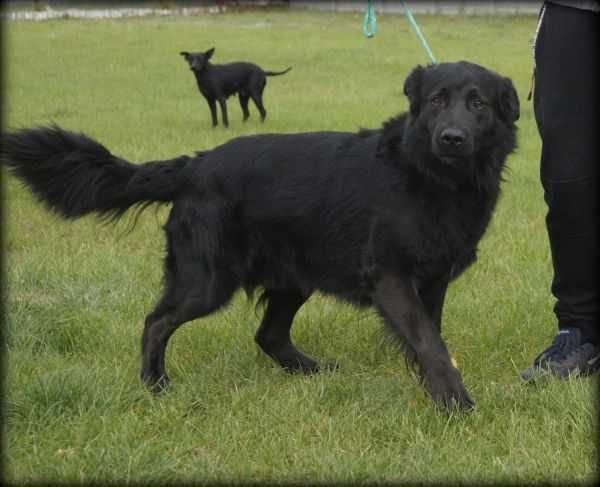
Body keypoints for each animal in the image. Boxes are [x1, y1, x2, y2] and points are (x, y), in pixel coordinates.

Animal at [0, 61, 516, 412]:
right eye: (436, 101)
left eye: (478, 103)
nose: (451, 138)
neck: (430, 176)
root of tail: (195, 165)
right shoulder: (390, 276)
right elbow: (429, 341)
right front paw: (453, 399)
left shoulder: (432, 280)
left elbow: (429, 336)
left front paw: (428, 386)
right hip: (208, 280)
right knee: (156, 322)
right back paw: (155, 384)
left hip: (292, 276)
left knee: (268, 334)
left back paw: (310, 371)